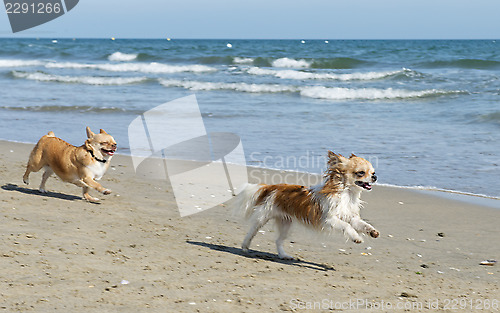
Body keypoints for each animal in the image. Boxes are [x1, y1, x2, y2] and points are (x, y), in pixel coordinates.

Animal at [234, 151, 378, 258]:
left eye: (373, 172)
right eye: (361, 173)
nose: (375, 177)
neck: (347, 195)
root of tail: (272, 186)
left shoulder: (351, 217)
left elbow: (362, 224)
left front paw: (372, 231)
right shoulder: (328, 219)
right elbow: (346, 226)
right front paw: (356, 237)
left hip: (286, 224)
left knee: (278, 240)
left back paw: (284, 255)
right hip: (262, 218)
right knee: (251, 232)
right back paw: (245, 246)